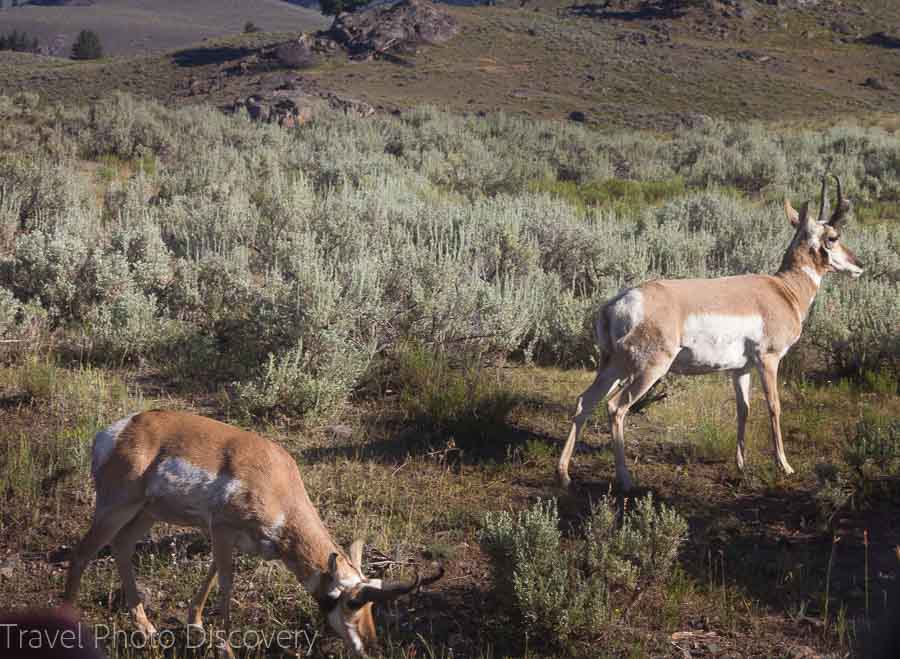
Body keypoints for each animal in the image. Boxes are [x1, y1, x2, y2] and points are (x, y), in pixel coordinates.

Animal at [63, 412, 442, 656]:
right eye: (350, 602)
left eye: (371, 604)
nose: (370, 646)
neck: (278, 486)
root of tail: (117, 430)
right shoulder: (221, 530)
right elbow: (226, 584)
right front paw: (226, 648)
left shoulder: (233, 540)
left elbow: (211, 575)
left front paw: (196, 627)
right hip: (116, 508)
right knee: (82, 554)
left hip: (146, 513)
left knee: (122, 546)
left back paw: (147, 630)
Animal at [560, 173, 860, 492]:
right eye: (833, 237)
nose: (859, 265)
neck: (784, 290)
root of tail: (618, 302)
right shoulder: (768, 360)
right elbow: (774, 406)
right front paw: (785, 465)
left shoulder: (740, 369)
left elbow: (744, 409)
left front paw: (741, 464)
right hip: (648, 369)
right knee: (616, 407)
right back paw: (626, 479)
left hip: (613, 366)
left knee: (585, 401)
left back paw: (564, 474)